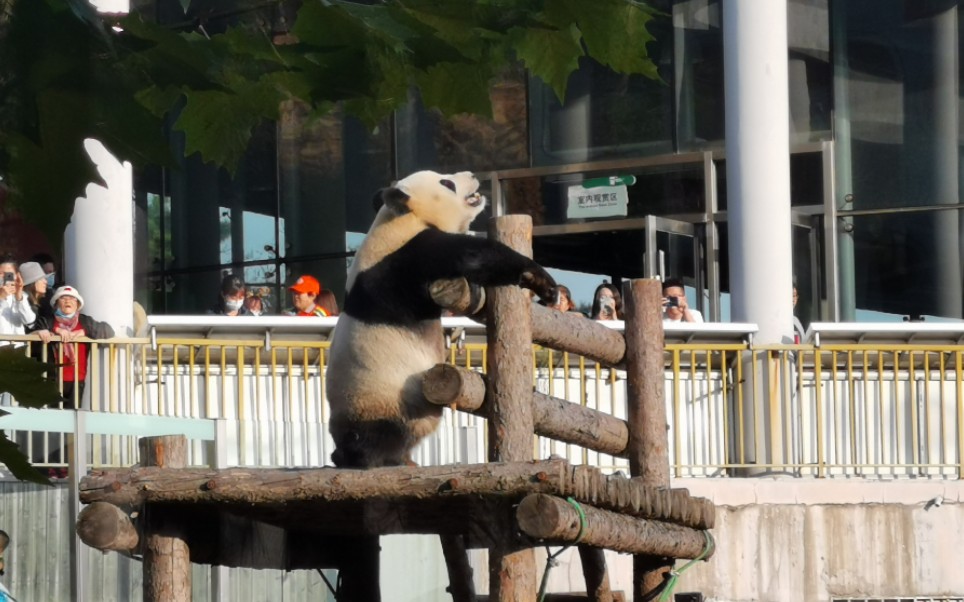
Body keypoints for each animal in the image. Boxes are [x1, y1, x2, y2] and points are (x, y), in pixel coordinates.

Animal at [328, 170, 556, 468]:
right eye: (446, 183)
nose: (472, 174)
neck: (403, 217)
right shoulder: (405, 257)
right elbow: (471, 255)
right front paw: (540, 280)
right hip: (378, 397)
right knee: (377, 433)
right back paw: (372, 457)